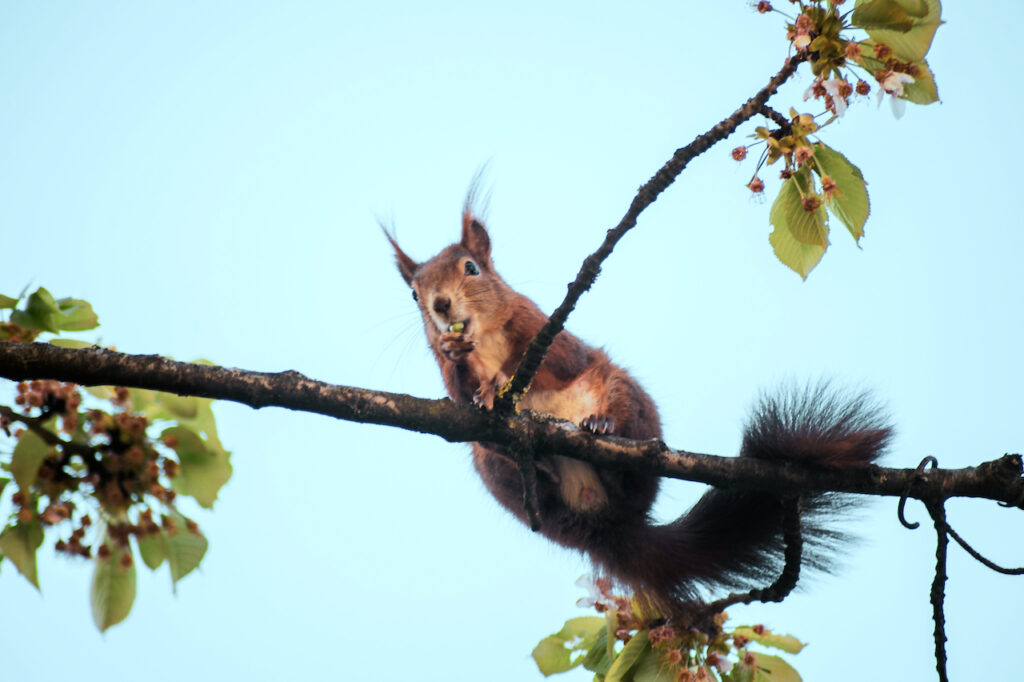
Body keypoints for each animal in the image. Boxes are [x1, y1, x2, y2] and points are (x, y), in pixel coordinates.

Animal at [385, 204, 888, 614]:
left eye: (470, 268)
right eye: (414, 294)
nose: (440, 305)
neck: (483, 338)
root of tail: (606, 524)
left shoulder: (543, 328)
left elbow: (557, 361)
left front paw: (502, 376)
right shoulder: (453, 388)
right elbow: (459, 393)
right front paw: (461, 359)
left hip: (627, 398)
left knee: (625, 467)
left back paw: (603, 431)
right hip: (491, 464)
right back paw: (542, 467)